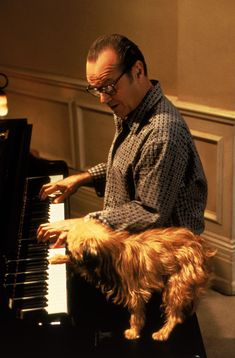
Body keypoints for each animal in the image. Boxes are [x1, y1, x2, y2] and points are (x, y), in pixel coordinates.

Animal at [50, 218, 216, 342]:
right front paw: (58, 257)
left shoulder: (135, 292)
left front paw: (134, 331)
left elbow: (136, 315)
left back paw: (163, 332)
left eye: (70, 245)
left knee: (175, 315)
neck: (111, 252)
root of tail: (202, 248)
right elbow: (76, 264)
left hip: (176, 285)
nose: (65, 245)